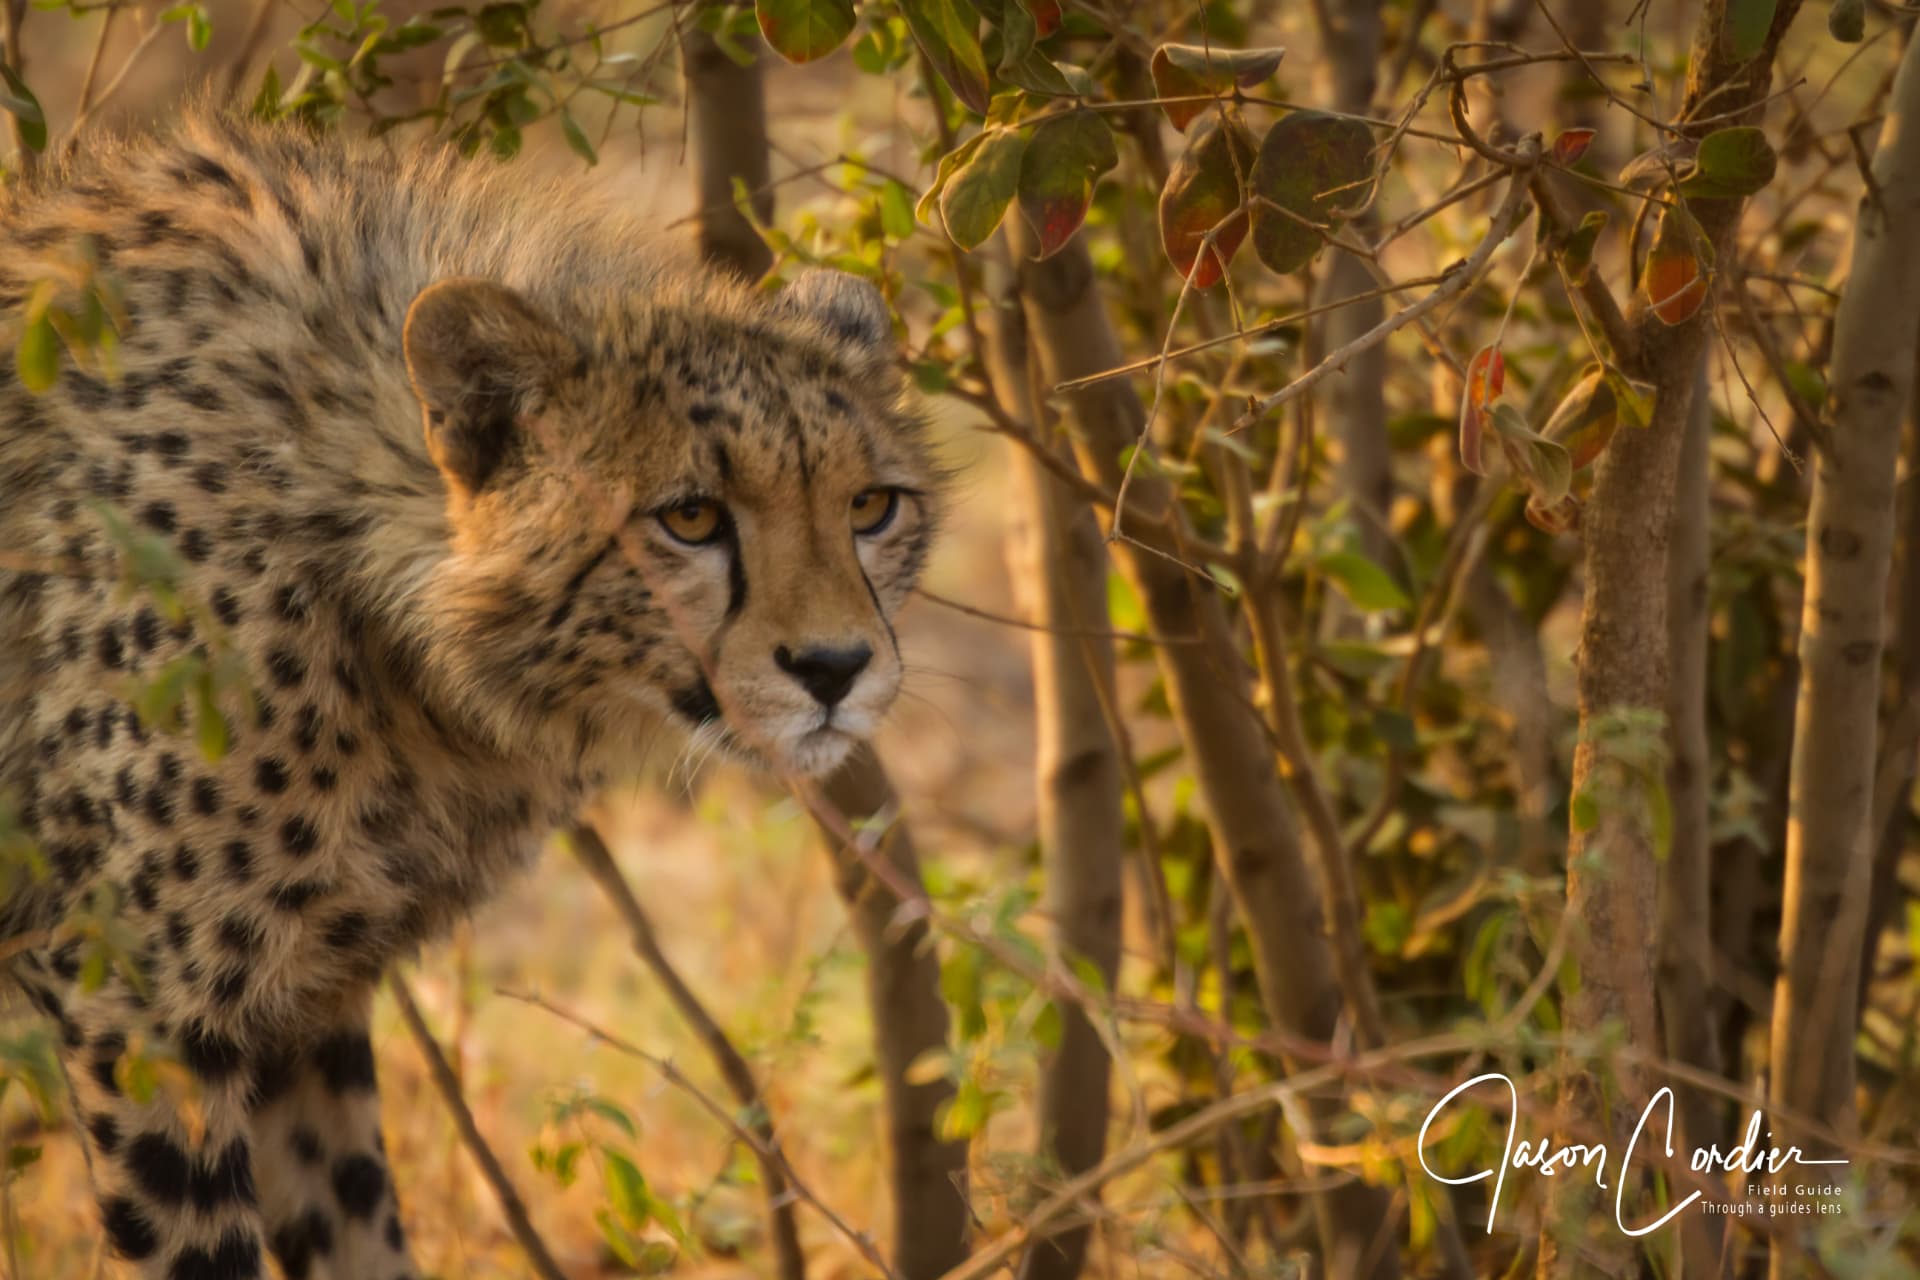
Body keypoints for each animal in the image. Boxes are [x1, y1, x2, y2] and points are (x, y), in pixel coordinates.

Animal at [0, 108, 939, 1279]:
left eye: (871, 506)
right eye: (689, 517)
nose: (836, 667)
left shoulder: (302, 1000)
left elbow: (353, 1219)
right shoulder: (138, 1001)